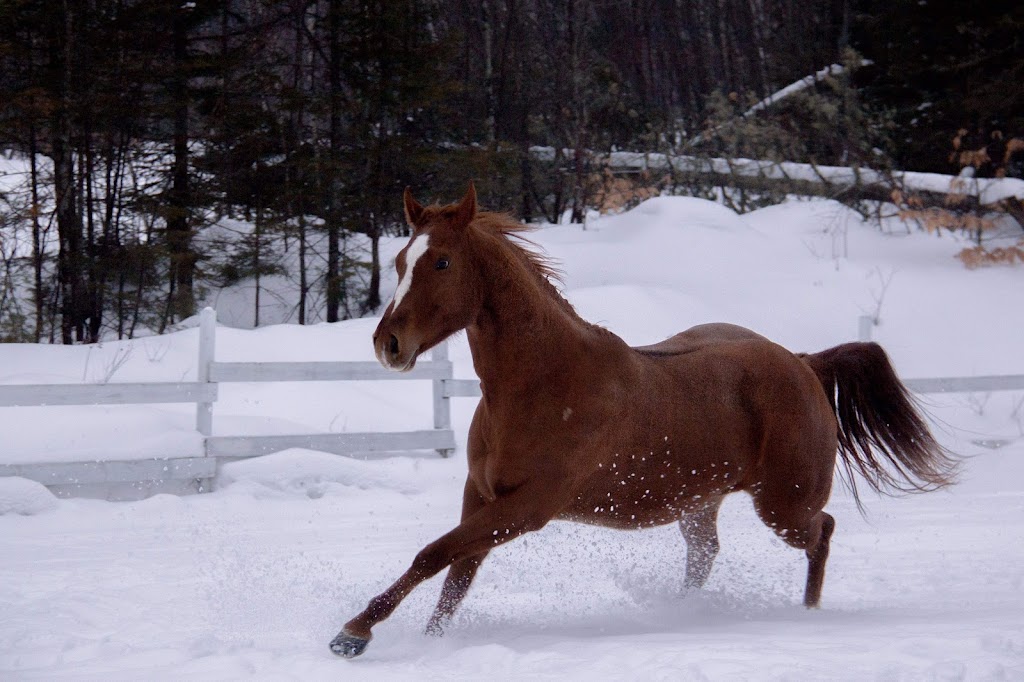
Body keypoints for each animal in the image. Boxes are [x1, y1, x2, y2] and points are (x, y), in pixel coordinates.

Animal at [329, 180, 958, 655]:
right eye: (400, 261)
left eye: (441, 261)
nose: (388, 344)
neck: (541, 383)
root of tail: (803, 364)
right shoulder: (481, 497)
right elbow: (454, 574)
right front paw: (425, 640)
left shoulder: (527, 508)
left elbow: (434, 554)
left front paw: (353, 633)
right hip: (700, 501)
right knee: (705, 556)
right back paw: (683, 613)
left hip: (783, 504)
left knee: (821, 531)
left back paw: (806, 615)